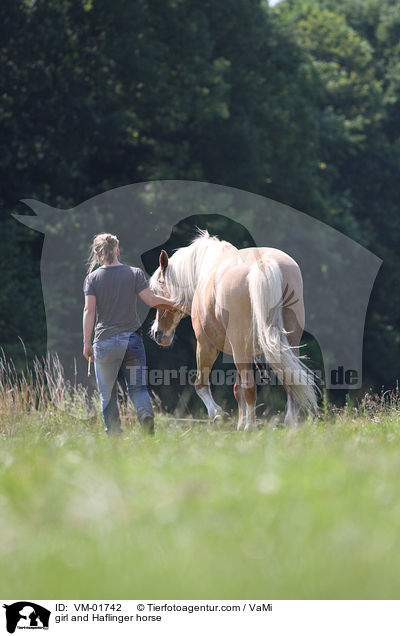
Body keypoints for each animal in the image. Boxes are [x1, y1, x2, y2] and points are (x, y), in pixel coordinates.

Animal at [148, 231, 318, 430]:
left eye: (158, 290)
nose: (158, 334)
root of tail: (263, 264)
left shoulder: (206, 345)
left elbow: (201, 385)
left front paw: (220, 415)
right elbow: (238, 389)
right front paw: (239, 424)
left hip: (236, 346)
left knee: (250, 386)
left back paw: (251, 427)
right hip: (287, 344)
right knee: (290, 381)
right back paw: (289, 424)